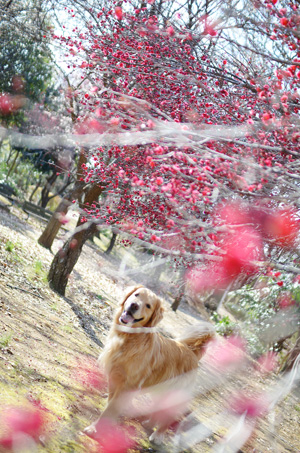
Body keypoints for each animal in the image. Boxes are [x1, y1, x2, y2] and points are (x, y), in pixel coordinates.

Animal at [84, 284, 214, 444]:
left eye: (148, 306)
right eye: (136, 295)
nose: (134, 305)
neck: (129, 338)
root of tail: (190, 350)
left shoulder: (128, 385)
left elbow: (111, 408)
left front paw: (95, 428)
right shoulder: (114, 376)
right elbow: (111, 403)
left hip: (174, 393)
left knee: (169, 416)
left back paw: (158, 436)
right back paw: (149, 424)